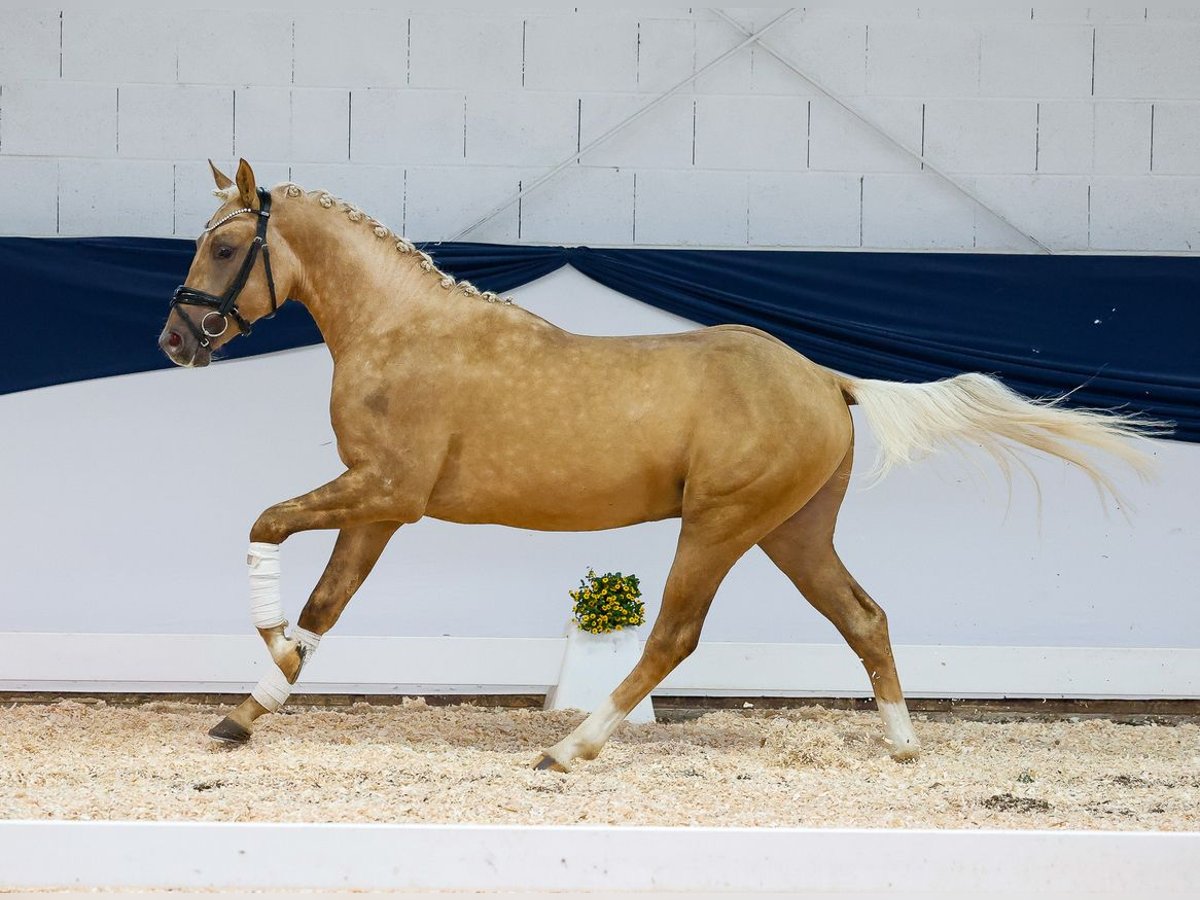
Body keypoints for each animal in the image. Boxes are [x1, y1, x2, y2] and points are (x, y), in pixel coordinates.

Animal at [159, 160, 1161, 768]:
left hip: (719, 525)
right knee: (865, 617)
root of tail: (824, 377)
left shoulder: (387, 493)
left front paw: (268, 640)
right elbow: (327, 604)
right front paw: (245, 711)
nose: (176, 341)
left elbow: (265, 526)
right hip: (794, 532)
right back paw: (902, 746)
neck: (403, 332)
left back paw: (569, 751)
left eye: (223, 244)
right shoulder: (376, 507)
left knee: (675, 635)